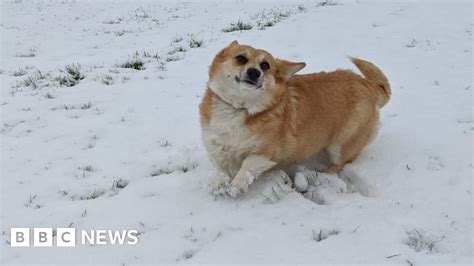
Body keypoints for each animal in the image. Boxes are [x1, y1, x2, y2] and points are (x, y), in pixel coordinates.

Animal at [198, 41, 390, 195]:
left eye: (265, 65)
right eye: (241, 58)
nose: (254, 72)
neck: (239, 107)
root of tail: (370, 85)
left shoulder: (265, 153)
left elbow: (247, 165)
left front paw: (236, 186)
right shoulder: (215, 146)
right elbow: (221, 168)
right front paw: (220, 184)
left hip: (340, 145)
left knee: (340, 163)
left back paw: (324, 175)